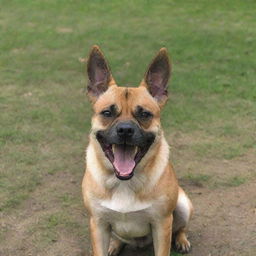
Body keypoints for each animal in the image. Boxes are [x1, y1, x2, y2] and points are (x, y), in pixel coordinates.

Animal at [81, 46, 192, 256]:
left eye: (144, 114)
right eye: (107, 113)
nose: (125, 130)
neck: (124, 181)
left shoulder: (162, 225)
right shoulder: (98, 225)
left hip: (183, 206)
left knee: (181, 227)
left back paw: (182, 240)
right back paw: (115, 245)